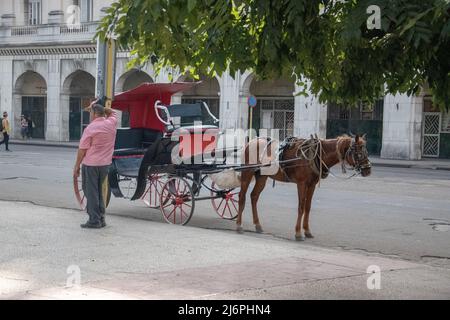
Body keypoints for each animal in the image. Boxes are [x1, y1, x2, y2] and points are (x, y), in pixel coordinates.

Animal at [237, 134, 370, 241]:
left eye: (366, 151)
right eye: (359, 152)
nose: (368, 170)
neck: (315, 155)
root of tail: (251, 142)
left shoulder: (312, 185)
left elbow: (308, 207)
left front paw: (307, 231)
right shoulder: (301, 184)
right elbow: (301, 207)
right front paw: (298, 233)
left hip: (262, 177)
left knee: (254, 196)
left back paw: (257, 225)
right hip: (247, 172)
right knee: (242, 196)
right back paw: (239, 225)